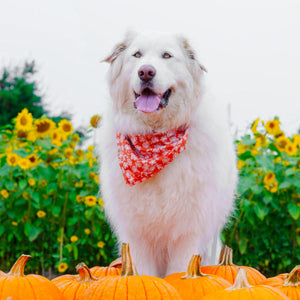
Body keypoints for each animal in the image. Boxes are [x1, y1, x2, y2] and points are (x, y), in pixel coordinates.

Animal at [97, 31, 238, 278]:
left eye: (167, 56)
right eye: (137, 55)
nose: (146, 72)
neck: (155, 136)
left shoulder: (188, 232)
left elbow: (182, 270)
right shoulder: (138, 236)